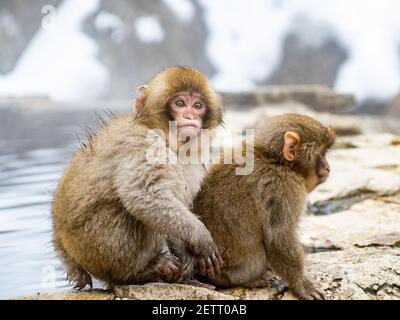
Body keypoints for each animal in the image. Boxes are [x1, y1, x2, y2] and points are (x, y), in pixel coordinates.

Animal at [51, 66, 223, 288]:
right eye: (179, 103)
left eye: (198, 105)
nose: (190, 116)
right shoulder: (145, 145)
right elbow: (144, 195)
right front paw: (201, 237)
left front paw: (189, 269)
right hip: (101, 248)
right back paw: (142, 271)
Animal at [192, 114, 336, 298]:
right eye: (322, 154)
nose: (328, 167)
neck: (275, 160)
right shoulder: (285, 188)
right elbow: (279, 237)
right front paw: (301, 284)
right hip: (240, 268)